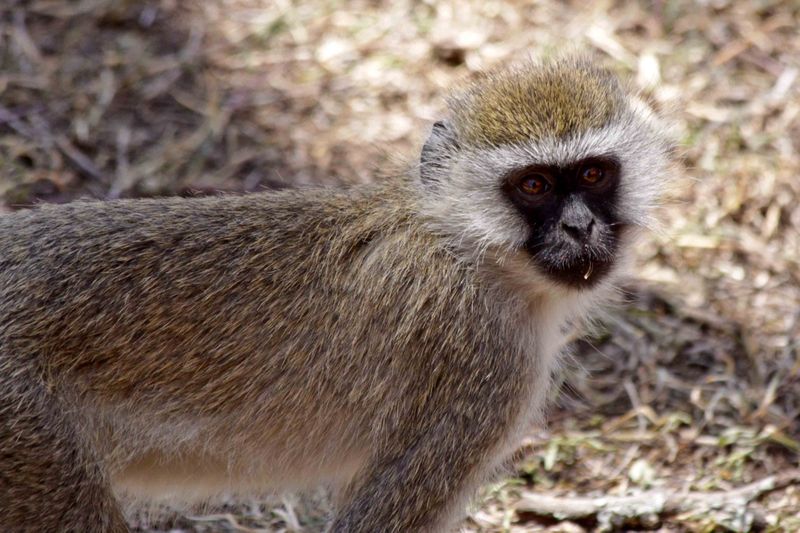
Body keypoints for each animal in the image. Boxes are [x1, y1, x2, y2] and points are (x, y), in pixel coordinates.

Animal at [0, 56, 674, 532]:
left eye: (592, 174)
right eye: (534, 186)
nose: (579, 227)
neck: (469, 249)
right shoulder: (482, 371)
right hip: (28, 433)